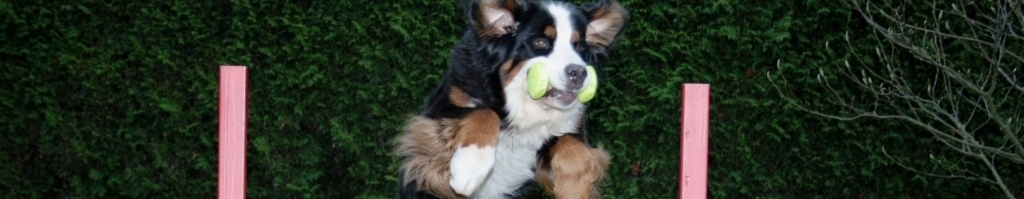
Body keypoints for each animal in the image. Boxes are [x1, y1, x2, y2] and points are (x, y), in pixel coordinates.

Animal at [395, 0, 626, 196]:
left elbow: (572, 144)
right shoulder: (437, 112)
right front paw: (471, 165)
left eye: (580, 46)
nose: (578, 73)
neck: (522, 105)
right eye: (540, 42)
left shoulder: (566, 133)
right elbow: (484, 112)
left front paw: (574, 188)